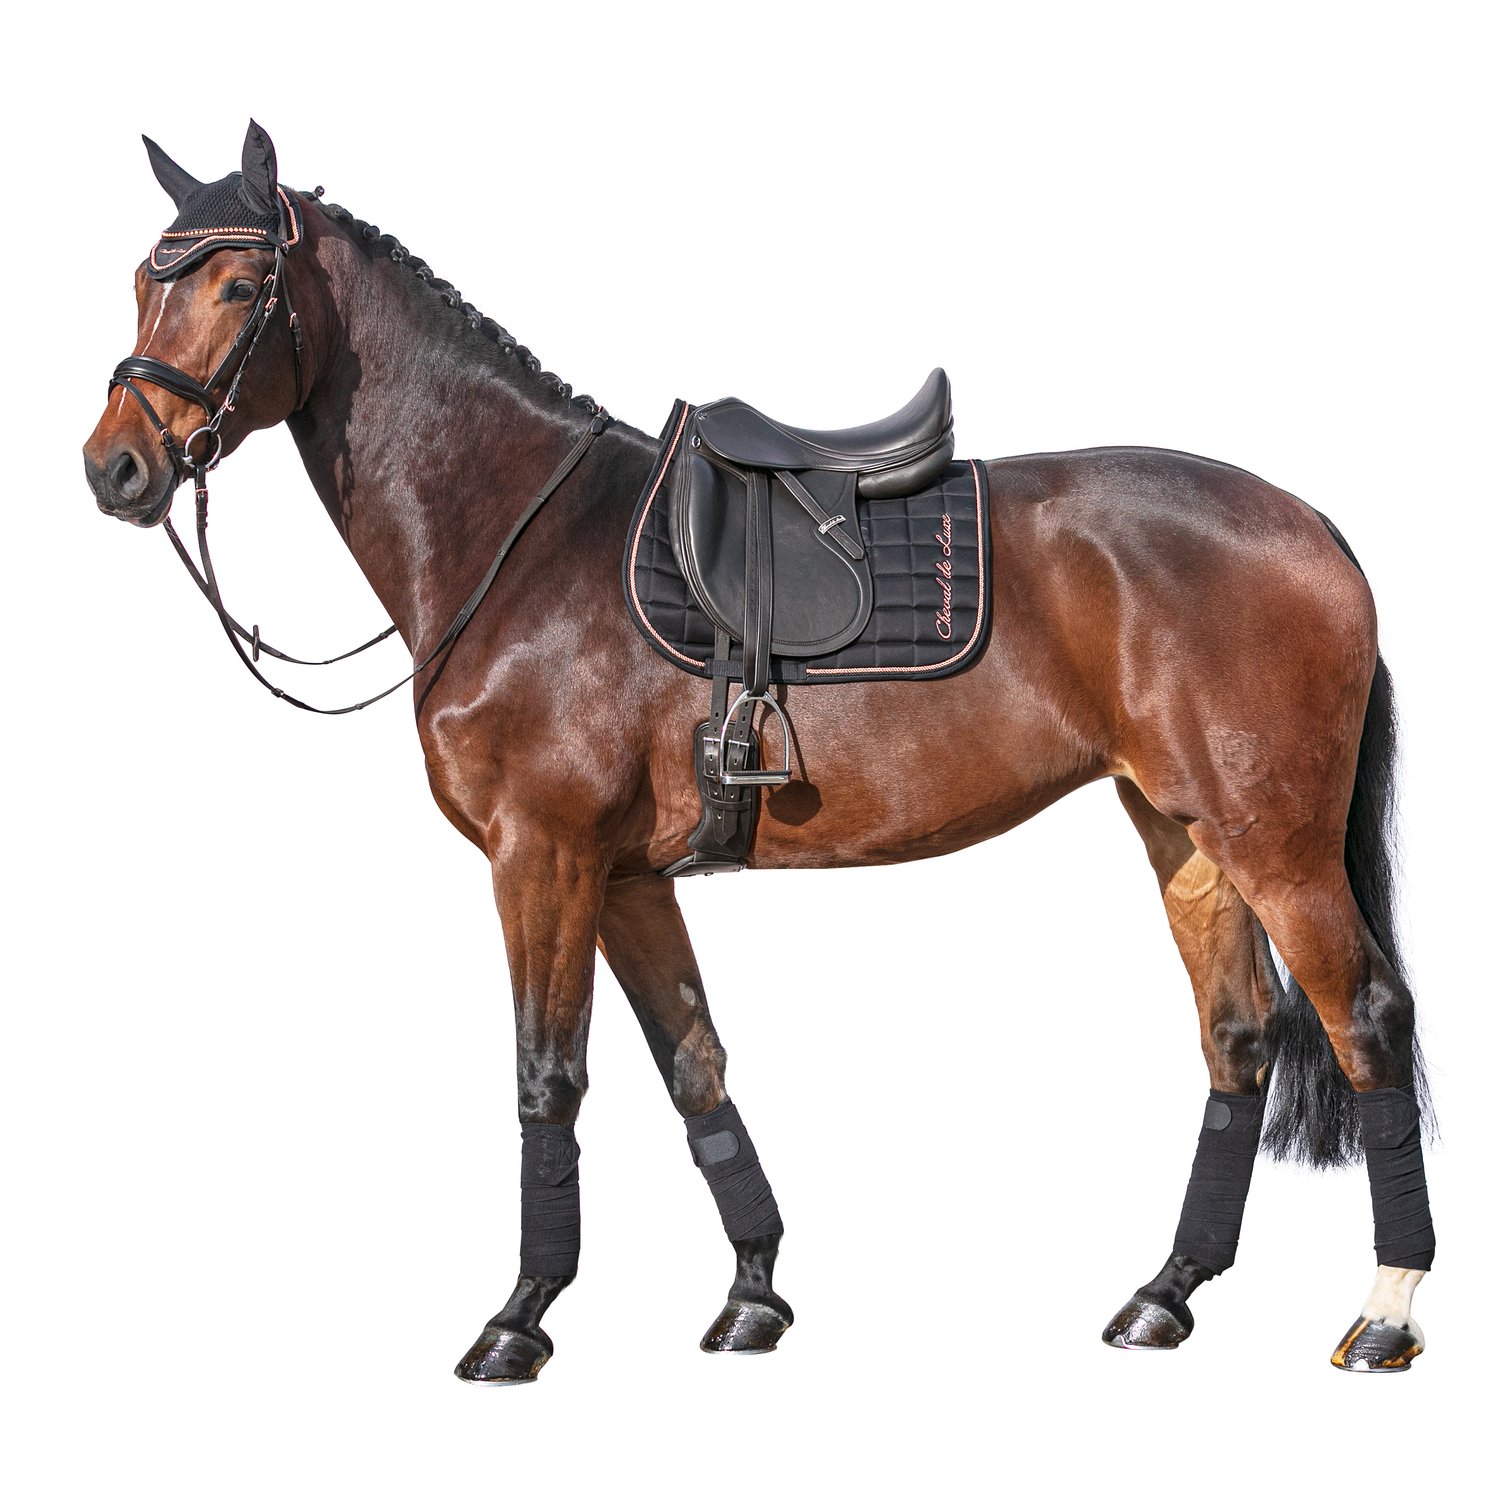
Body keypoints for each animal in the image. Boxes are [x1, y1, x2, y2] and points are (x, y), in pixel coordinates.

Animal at [82, 122, 1435, 1382]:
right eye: (145, 277)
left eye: (238, 286)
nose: (115, 467)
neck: (521, 539)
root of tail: (1312, 525)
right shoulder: (626, 879)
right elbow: (694, 1067)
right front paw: (752, 1296)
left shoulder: (543, 857)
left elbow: (546, 1077)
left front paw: (521, 1319)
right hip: (1186, 833)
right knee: (1239, 1038)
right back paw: (1166, 1295)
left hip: (1275, 841)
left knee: (1364, 1016)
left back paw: (1386, 1311)